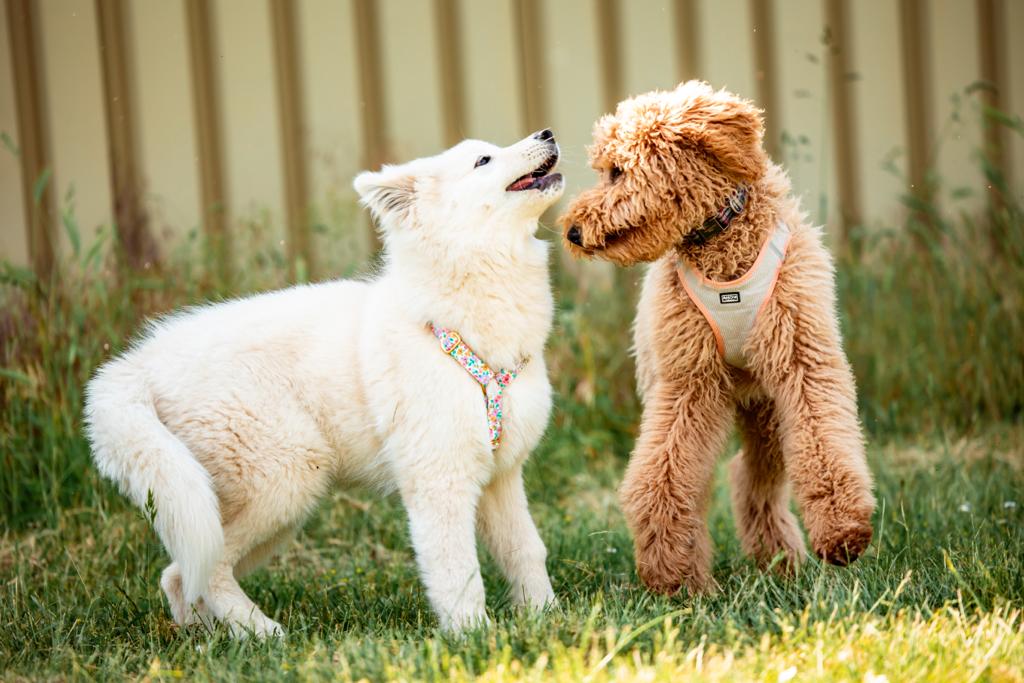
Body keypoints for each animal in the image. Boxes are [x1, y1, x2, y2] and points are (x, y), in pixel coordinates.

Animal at [84, 130, 565, 636]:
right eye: (483, 160)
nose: (547, 133)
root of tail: (139, 365)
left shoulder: (502, 477)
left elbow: (526, 550)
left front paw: (546, 616)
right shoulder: (439, 478)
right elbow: (458, 569)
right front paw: (472, 636)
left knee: (180, 575)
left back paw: (211, 638)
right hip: (282, 480)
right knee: (205, 568)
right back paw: (264, 633)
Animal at [561, 81, 875, 595]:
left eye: (617, 172)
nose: (571, 230)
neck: (720, 240)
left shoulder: (802, 361)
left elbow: (824, 447)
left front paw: (842, 531)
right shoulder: (688, 384)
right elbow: (663, 477)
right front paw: (668, 571)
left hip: (769, 413)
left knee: (751, 480)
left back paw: (779, 561)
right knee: (716, 482)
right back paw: (710, 577)